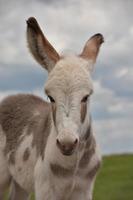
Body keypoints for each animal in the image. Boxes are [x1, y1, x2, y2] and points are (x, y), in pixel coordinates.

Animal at [0, 17, 104, 200]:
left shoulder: (83, 190)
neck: (73, 166)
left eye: (86, 97)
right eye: (50, 97)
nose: (67, 144)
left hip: (20, 181)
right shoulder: (46, 189)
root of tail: (12, 97)